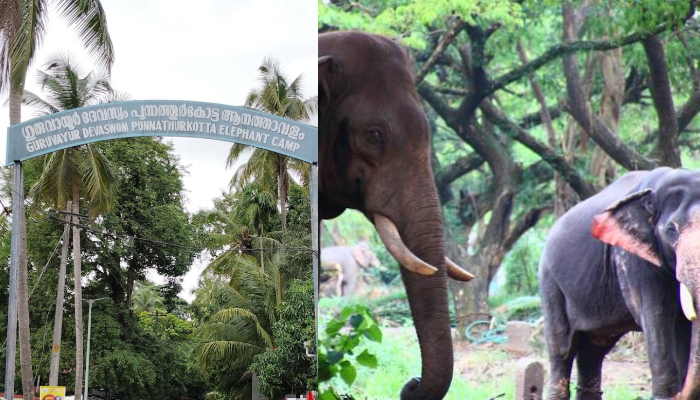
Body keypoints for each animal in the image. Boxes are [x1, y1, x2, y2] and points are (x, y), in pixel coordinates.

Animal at [540, 167, 700, 398]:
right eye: (671, 230)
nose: (681, 394)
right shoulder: (632, 258)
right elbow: (658, 317)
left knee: (592, 351)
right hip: (550, 282)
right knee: (562, 349)